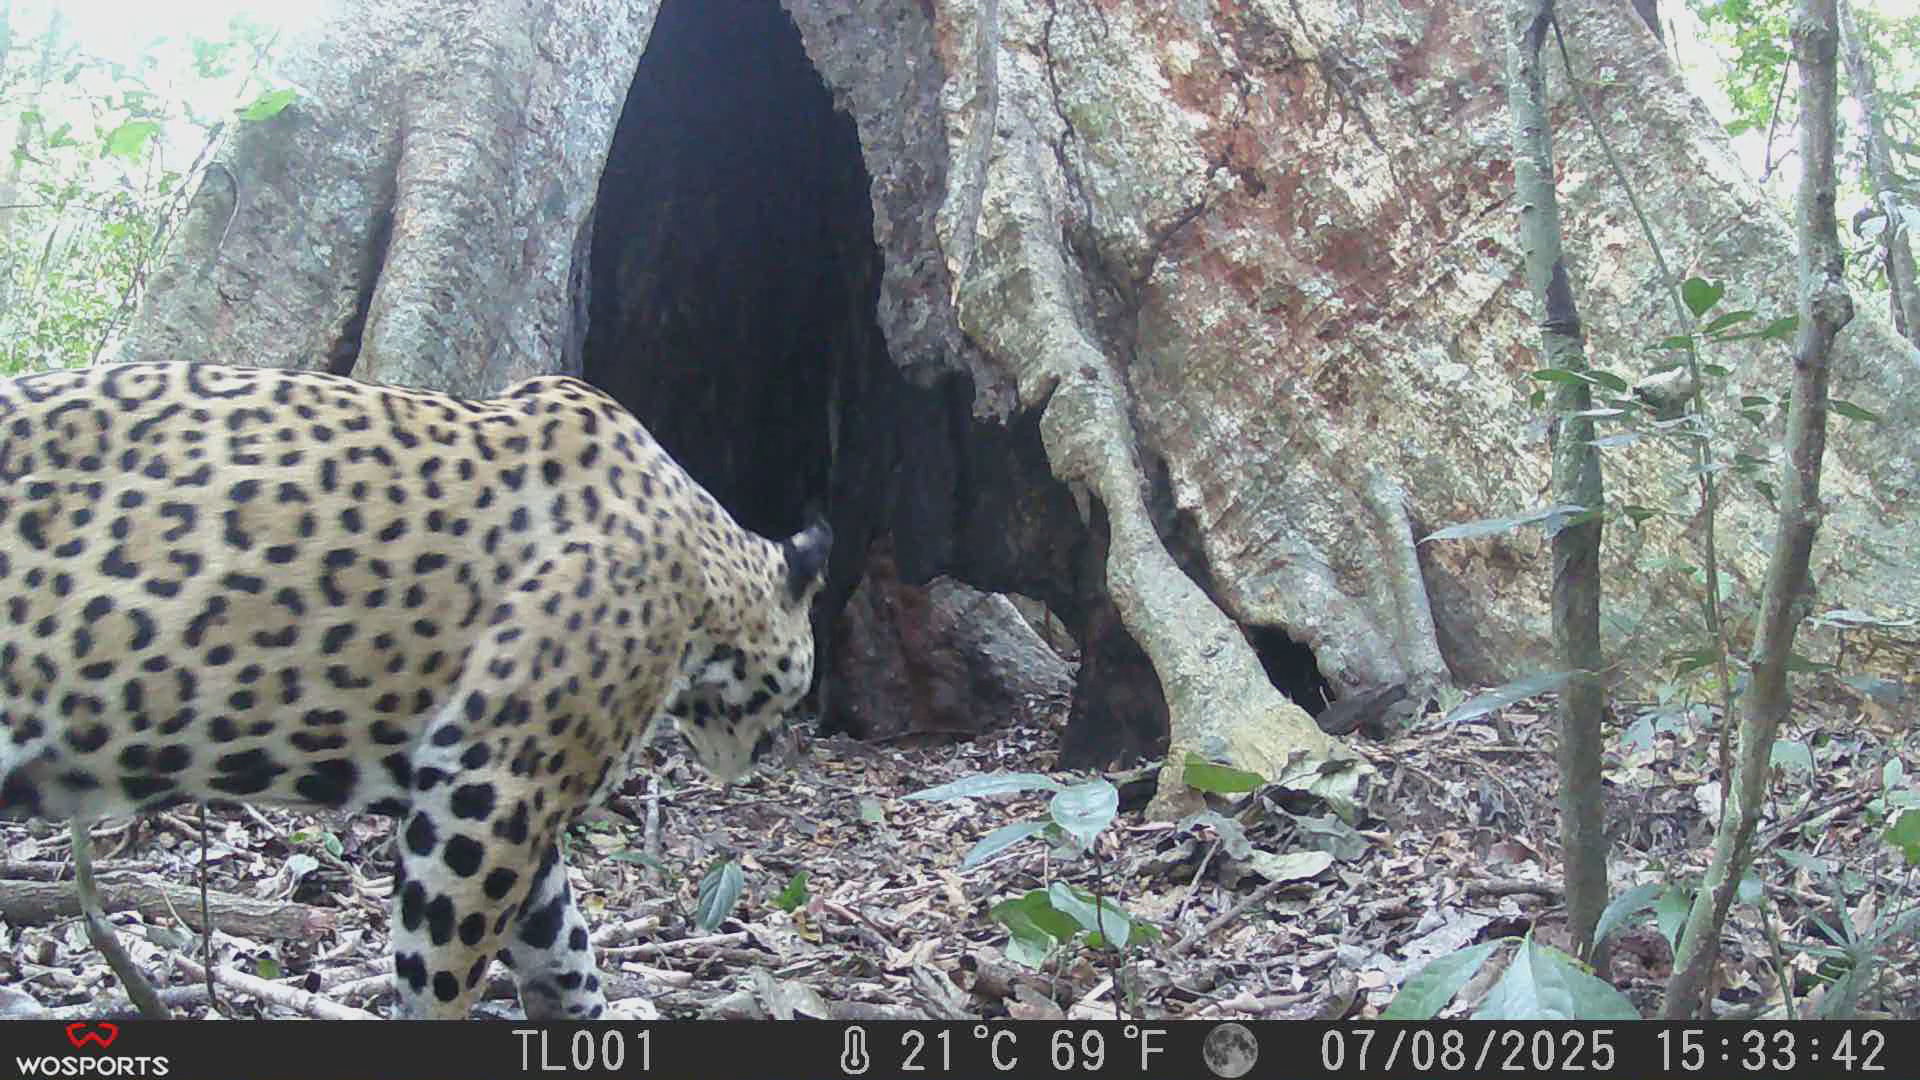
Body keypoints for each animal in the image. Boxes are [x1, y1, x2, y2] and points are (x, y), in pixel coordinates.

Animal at [0, 361, 831, 1019]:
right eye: (792, 692)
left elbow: (563, 947)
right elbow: (448, 966)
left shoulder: (505, 797)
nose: (763, 753)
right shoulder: (492, 786)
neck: (704, 574)